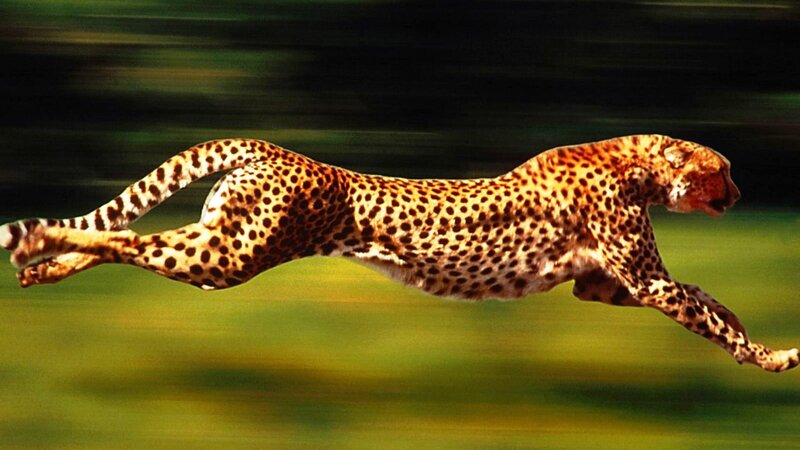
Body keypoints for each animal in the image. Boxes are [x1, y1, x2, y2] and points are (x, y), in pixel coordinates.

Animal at [1, 134, 797, 372]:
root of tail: (271, 147)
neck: (636, 162)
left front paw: (753, 339)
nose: (739, 189)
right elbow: (703, 309)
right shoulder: (642, 282)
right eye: (723, 168)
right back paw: (39, 242)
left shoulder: (601, 286)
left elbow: (707, 299)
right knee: (129, 237)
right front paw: (772, 357)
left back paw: (44, 263)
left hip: (218, 245)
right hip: (231, 256)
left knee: (131, 241)